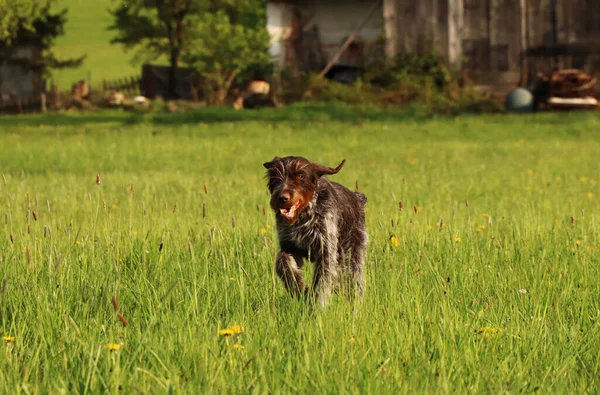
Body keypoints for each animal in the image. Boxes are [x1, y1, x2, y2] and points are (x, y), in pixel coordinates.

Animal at [264, 155, 368, 306]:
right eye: (274, 177)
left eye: (300, 176)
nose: (282, 198)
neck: (302, 217)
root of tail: (358, 199)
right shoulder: (289, 247)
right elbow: (282, 264)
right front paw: (300, 289)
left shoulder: (326, 250)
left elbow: (322, 282)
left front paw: (317, 306)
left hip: (352, 252)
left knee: (354, 279)